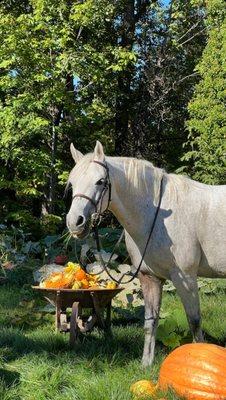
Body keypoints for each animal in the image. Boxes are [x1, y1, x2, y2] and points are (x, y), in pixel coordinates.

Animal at [66, 141, 226, 366]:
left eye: (100, 181)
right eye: (72, 183)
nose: (75, 222)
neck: (155, 216)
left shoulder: (185, 278)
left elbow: (194, 322)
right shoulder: (149, 277)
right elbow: (150, 322)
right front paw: (146, 364)